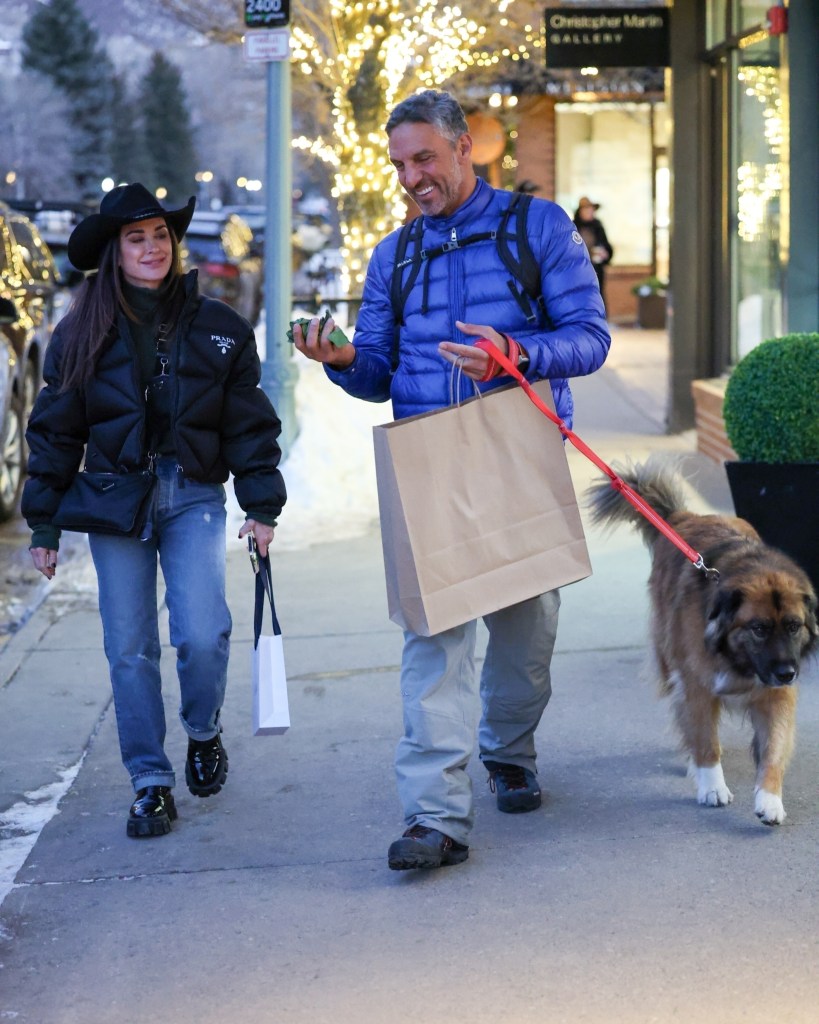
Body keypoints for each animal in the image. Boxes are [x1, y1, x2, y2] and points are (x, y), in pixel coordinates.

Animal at [589, 460, 818, 827]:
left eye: (794, 626)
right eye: (759, 628)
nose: (787, 672)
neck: (736, 659)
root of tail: (684, 517)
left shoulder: (776, 696)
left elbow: (774, 748)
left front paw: (769, 799)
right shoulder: (697, 686)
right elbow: (706, 741)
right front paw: (712, 786)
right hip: (669, 660)